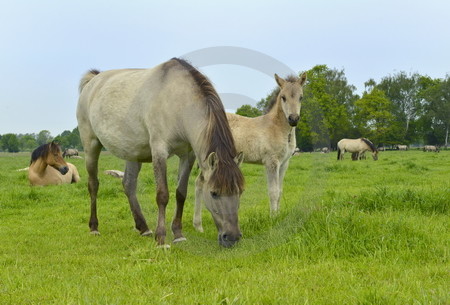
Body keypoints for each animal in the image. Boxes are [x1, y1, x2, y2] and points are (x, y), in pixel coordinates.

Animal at [78, 57, 246, 247]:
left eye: (240, 191)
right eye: (214, 193)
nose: (232, 237)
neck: (177, 101)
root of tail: (93, 80)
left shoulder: (188, 155)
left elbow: (181, 193)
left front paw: (178, 233)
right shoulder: (159, 151)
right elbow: (162, 195)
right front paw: (161, 238)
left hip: (132, 153)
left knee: (128, 185)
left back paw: (143, 227)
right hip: (91, 146)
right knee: (93, 184)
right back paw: (94, 227)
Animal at [192, 73, 306, 230]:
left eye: (301, 97)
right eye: (283, 97)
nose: (293, 119)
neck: (279, 129)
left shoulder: (284, 163)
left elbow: (280, 190)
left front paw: (278, 216)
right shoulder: (271, 162)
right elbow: (273, 191)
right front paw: (273, 218)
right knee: (200, 184)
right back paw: (198, 226)